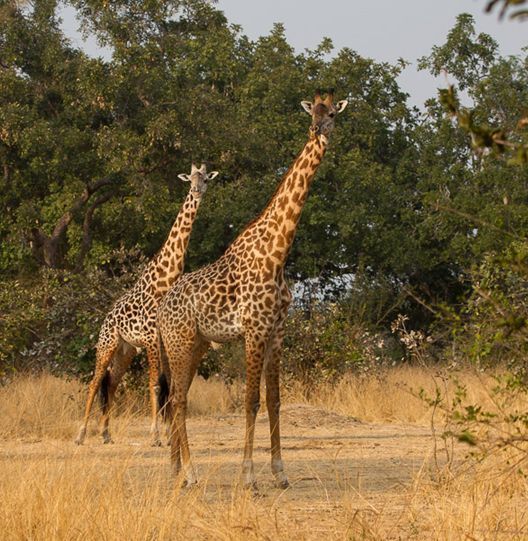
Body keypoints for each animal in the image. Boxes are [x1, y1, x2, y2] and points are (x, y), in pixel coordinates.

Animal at [75, 162, 219, 446]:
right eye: (190, 180)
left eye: (206, 179)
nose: (197, 192)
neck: (166, 279)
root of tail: (106, 317)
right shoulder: (153, 339)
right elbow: (155, 384)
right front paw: (155, 435)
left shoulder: (164, 341)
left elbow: (169, 384)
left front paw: (169, 434)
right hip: (107, 344)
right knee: (95, 382)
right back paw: (82, 434)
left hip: (126, 350)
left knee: (111, 383)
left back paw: (106, 434)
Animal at [156, 90, 346, 488]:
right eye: (313, 112)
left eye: (333, 114)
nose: (317, 129)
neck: (278, 251)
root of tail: (162, 308)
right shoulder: (254, 331)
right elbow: (251, 400)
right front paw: (249, 475)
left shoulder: (277, 331)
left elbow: (274, 400)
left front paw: (281, 472)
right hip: (180, 343)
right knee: (178, 400)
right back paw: (191, 473)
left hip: (194, 345)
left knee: (178, 397)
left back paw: (176, 470)